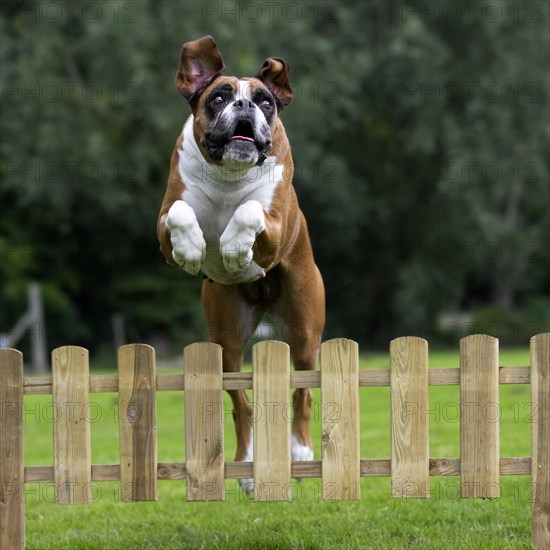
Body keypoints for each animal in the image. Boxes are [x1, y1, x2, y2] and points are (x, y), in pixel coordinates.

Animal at [157, 35, 326, 496]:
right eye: (218, 97)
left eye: (266, 102)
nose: (246, 106)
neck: (228, 175)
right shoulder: (162, 225)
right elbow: (179, 213)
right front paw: (193, 249)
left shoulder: (274, 224)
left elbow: (249, 211)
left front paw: (233, 247)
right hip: (227, 341)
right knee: (240, 402)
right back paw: (248, 467)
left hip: (304, 332)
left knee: (302, 391)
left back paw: (301, 451)